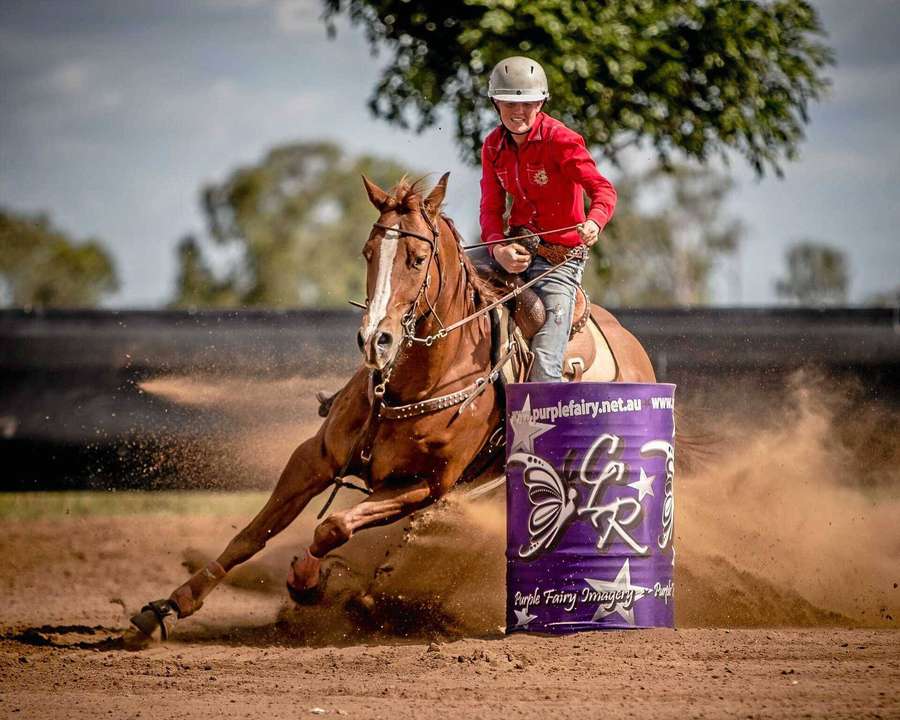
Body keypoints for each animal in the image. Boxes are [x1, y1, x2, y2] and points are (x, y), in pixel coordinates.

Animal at [125, 173, 655, 646]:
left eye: (418, 259)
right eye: (368, 252)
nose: (375, 340)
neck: (414, 382)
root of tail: (636, 352)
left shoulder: (424, 485)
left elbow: (332, 527)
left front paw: (307, 582)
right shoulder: (315, 456)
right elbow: (254, 534)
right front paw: (168, 607)